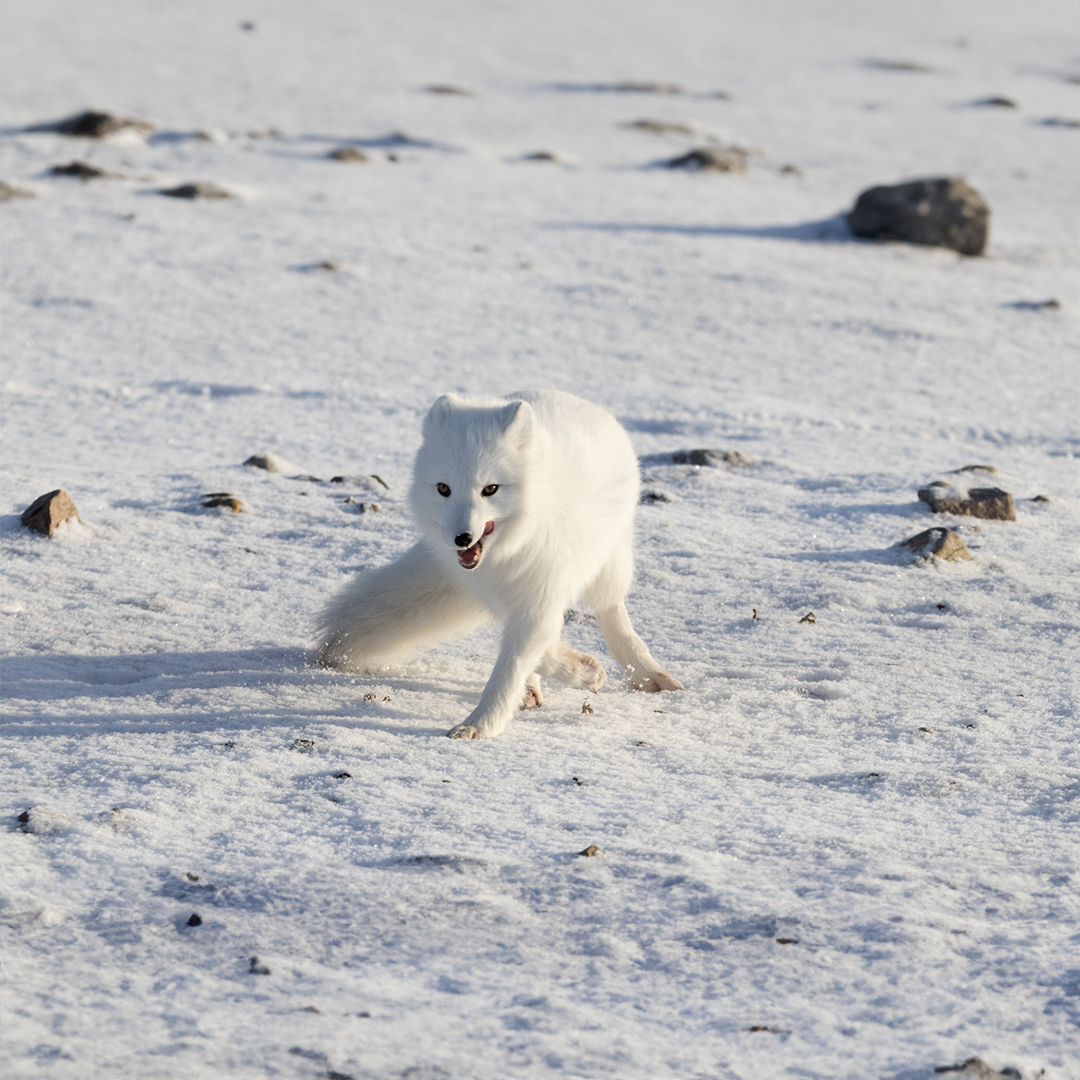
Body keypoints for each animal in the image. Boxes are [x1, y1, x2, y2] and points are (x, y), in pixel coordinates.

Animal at [315, 390, 682, 743]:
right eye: (443, 488)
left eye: (490, 489)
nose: (462, 538)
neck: (510, 549)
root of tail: (580, 401)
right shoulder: (500, 593)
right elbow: (535, 648)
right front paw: (582, 670)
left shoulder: (541, 591)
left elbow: (513, 665)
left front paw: (479, 725)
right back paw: (537, 687)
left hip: (610, 561)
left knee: (611, 611)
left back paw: (649, 674)